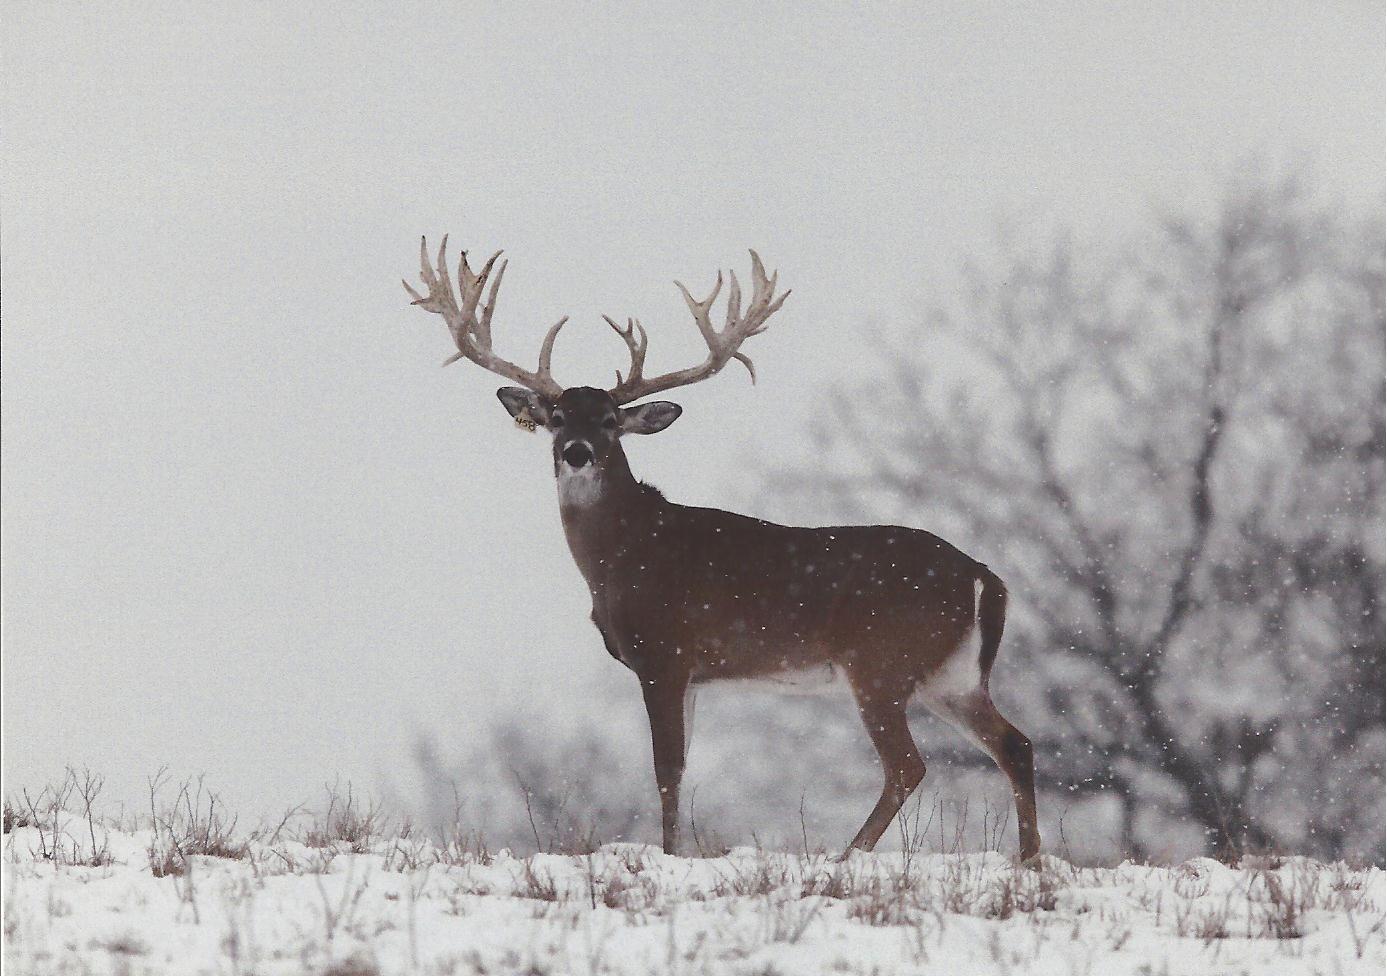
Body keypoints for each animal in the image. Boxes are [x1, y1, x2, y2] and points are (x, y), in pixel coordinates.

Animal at [403, 236, 1041, 861]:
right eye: (557, 416)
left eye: (609, 420)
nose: (577, 452)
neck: (624, 555)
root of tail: (985, 576)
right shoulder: (691, 674)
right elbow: (681, 769)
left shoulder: (664, 651)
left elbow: (666, 769)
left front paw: (670, 859)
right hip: (950, 677)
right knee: (1016, 744)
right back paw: (1028, 858)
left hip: (881, 664)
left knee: (909, 765)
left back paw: (848, 857)